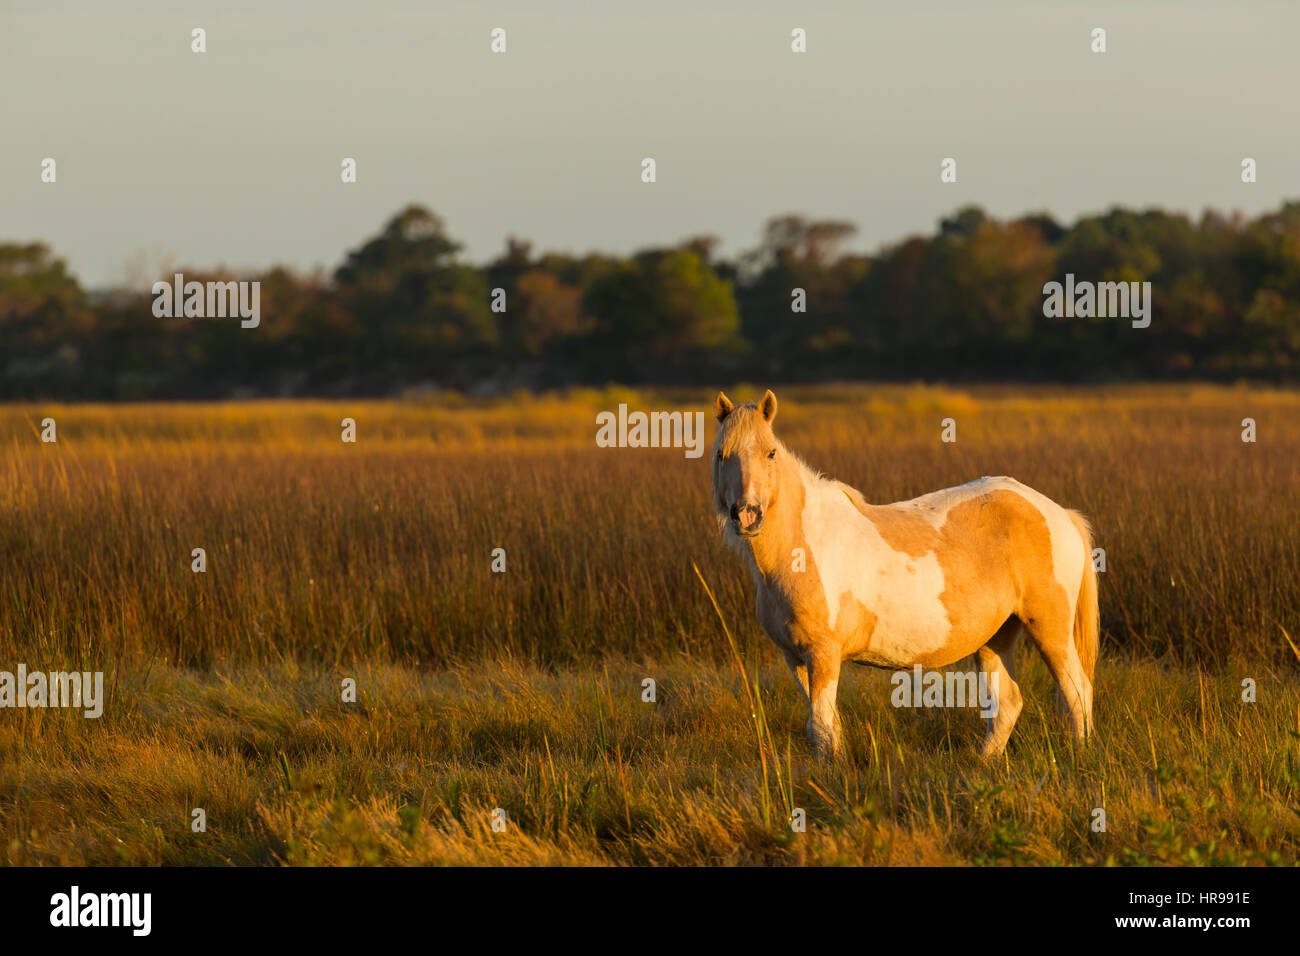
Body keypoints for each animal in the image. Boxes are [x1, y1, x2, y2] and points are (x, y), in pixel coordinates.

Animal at [712, 392, 1097, 759]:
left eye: (771, 453)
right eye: (720, 454)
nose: (747, 515)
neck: (800, 547)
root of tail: (1058, 512)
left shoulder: (823, 654)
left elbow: (819, 728)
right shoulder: (796, 658)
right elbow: (827, 726)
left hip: (1049, 627)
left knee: (1077, 689)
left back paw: (1080, 755)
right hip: (995, 636)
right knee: (1008, 703)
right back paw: (984, 762)